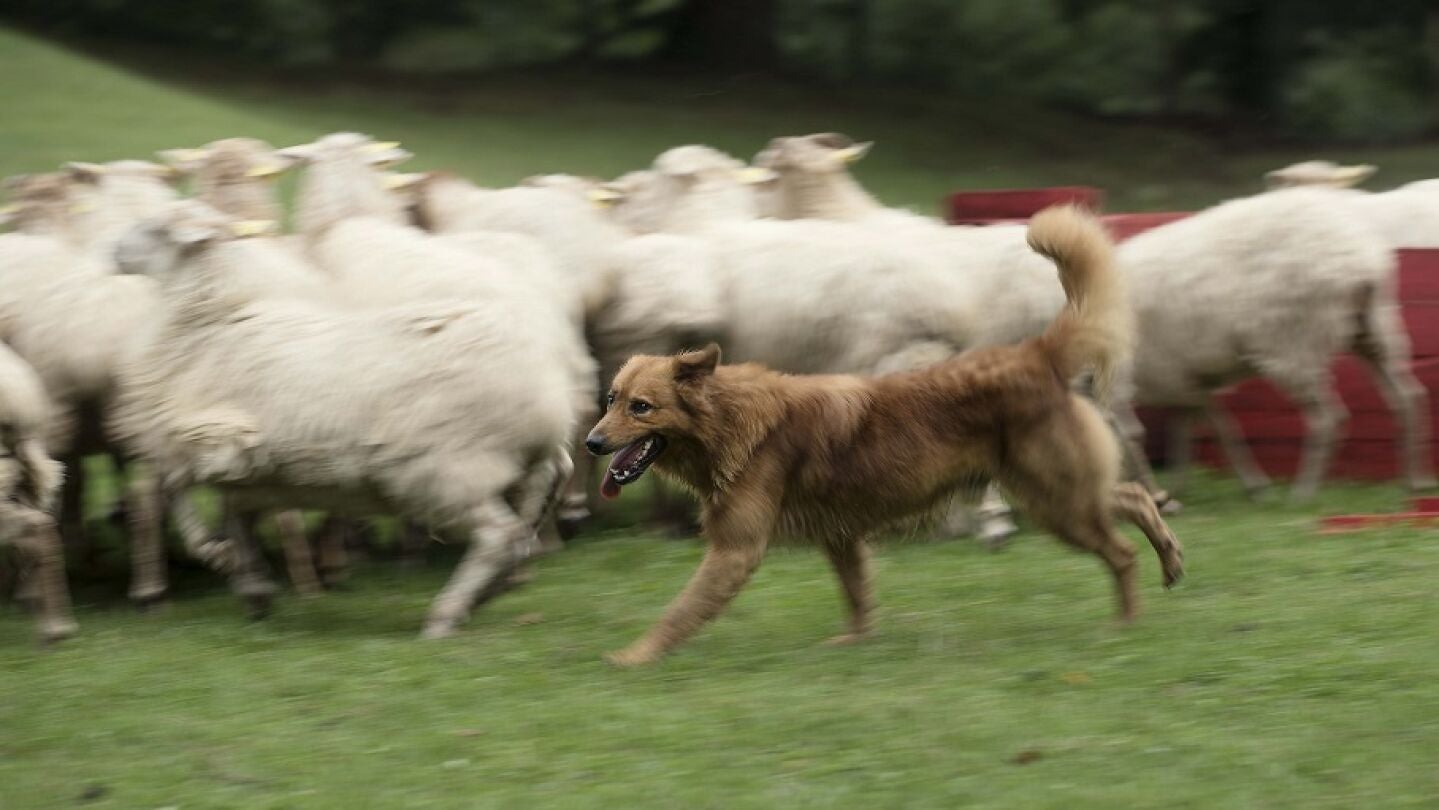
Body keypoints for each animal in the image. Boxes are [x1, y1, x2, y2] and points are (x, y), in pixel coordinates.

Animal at [112, 200, 577, 636]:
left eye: (158, 228)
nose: (114, 250)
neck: (208, 324)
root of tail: (549, 394)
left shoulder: (215, 441)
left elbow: (171, 491)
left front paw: (214, 553)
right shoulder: (252, 471)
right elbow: (234, 518)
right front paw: (252, 587)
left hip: (448, 470)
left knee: (497, 537)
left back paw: (446, 614)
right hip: (522, 464)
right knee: (526, 522)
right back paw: (491, 588)